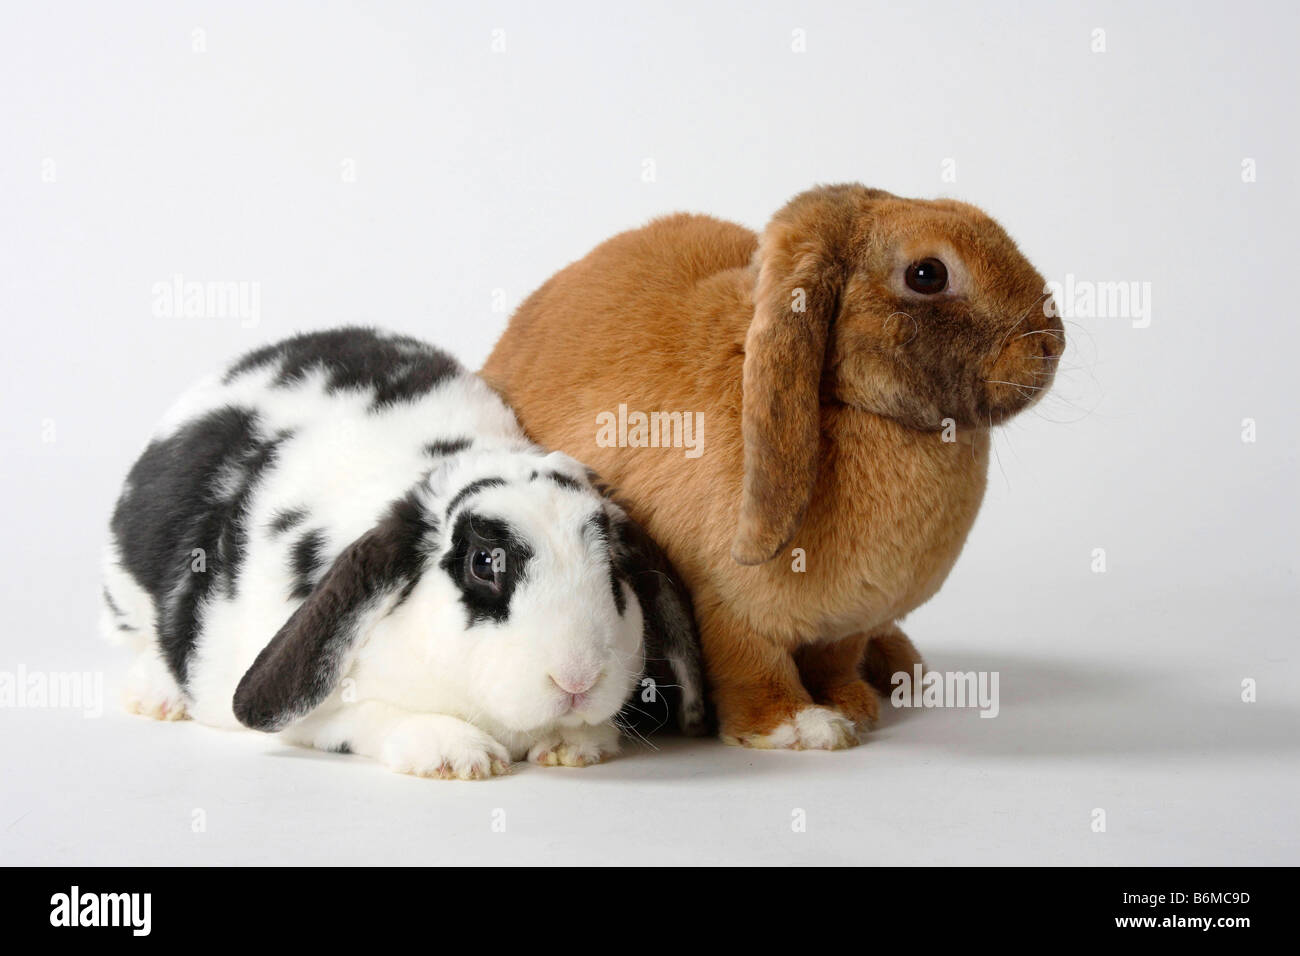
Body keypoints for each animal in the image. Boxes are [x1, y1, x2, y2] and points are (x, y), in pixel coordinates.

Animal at [98, 329, 712, 780]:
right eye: (483, 564)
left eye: (613, 568)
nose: (578, 680)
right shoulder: (323, 716)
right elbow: (369, 719)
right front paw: (459, 756)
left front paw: (575, 745)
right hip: (124, 596)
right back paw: (157, 699)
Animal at [483, 183, 1060, 749]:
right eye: (928, 274)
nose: (1051, 342)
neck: (843, 404)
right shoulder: (726, 605)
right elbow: (751, 664)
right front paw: (801, 726)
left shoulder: (848, 624)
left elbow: (835, 661)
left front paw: (854, 706)